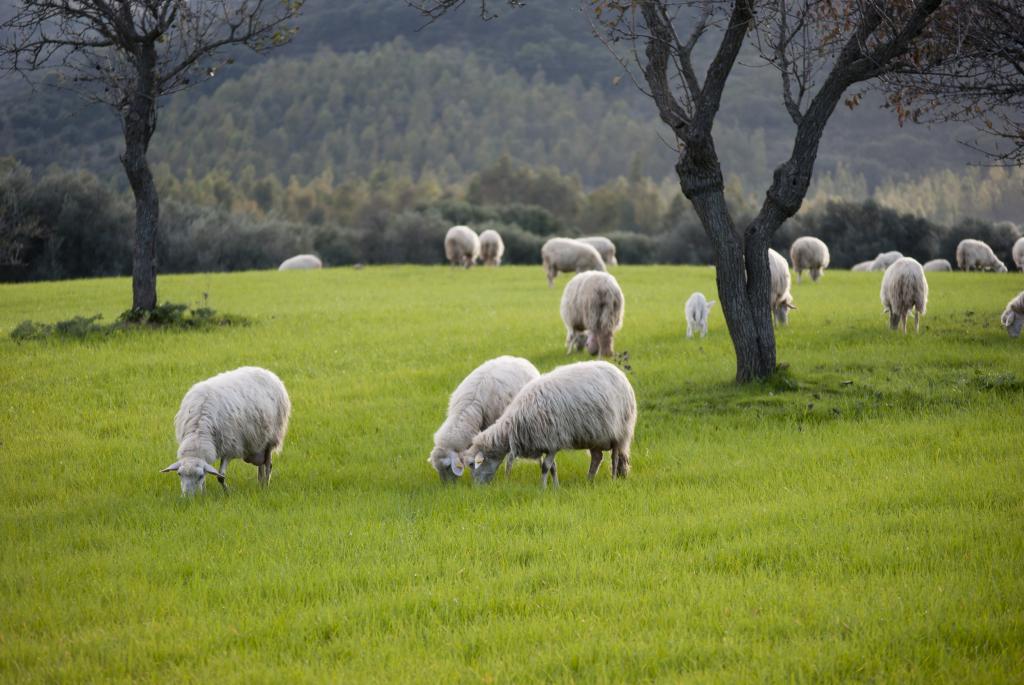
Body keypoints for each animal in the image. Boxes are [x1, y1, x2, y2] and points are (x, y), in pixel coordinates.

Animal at [159, 366, 290, 493]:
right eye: (179, 474)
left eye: (200, 476)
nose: (188, 497)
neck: (198, 433)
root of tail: (267, 372)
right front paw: (204, 494)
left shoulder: (230, 448)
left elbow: (220, 476)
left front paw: (228, 493)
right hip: (258, 442)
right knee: (261, 465)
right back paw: (260, 484)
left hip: (271, 438)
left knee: (268, 465)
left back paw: (266, 486)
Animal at [468, 362, 634, 485]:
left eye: (476, 463)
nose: (477, 486)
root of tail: (619, 373)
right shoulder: (547, 444)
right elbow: (552, 467)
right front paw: (555, 487)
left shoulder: (553, 441)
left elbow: (545, 467)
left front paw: (542, 488)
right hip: (595, 437)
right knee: (597, 457)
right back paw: (589, 480)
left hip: (619, 431)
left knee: (615, 457)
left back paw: (613, 479)